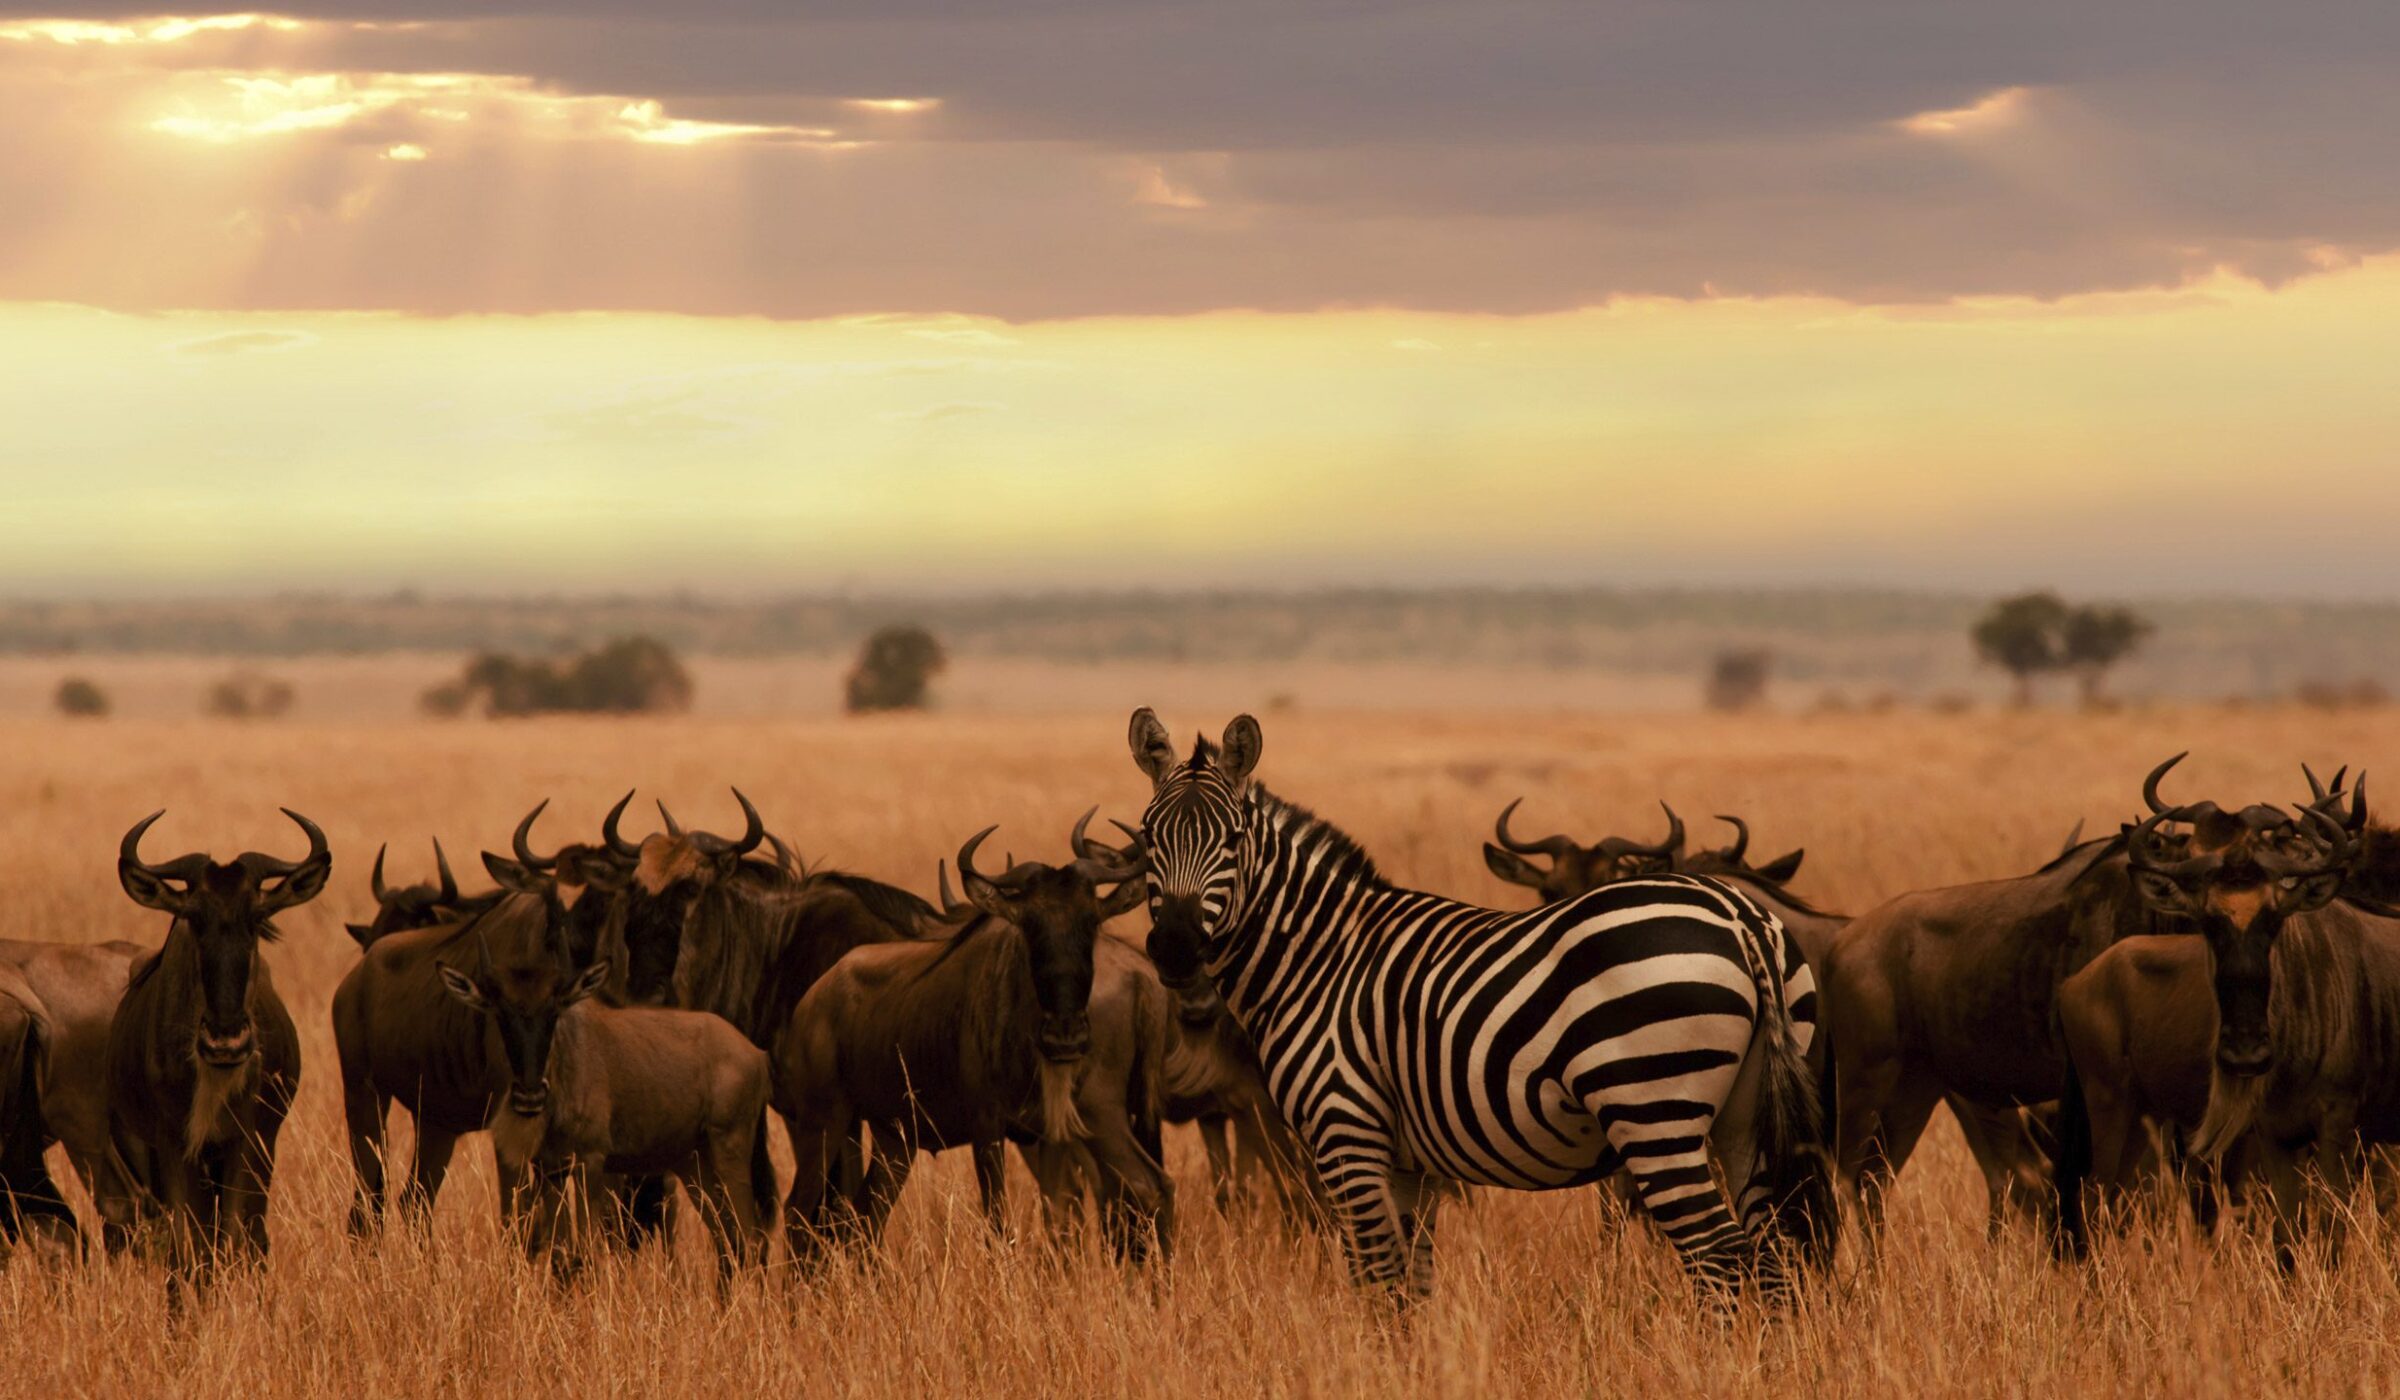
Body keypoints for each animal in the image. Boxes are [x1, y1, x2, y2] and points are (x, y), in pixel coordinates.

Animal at [1125, 708, 1835, 1304]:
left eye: (1232, 840)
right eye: (1147, 835)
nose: (1176, 948)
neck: (1319, 955)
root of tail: (1740, 914)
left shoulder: (1346, 1129)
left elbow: (1374, 1278)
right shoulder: (1408, 1160)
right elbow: (1410, 1282)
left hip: (1654, 1112)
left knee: (1722, 1256)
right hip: (1745, 1116)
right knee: (1772, 1254)